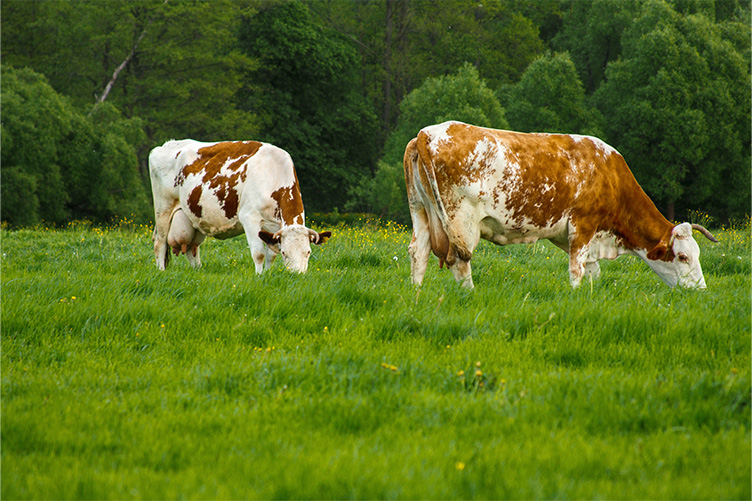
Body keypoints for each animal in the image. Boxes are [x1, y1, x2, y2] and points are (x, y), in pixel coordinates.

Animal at [149, 139, 330, 273]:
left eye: (308, 251)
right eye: (285, 252)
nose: (297, 275)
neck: (274, 173)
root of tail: (165, 145)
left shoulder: (274, 227)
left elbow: (270, 255)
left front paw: (269, 275)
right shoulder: (250, 218)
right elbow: (259, 254)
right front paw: (260, 277)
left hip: (192, 216)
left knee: (192, 248)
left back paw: (198, 271)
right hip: (163, 208)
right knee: (160, 242)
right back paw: (161, 271)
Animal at [403, 121, 717, 289]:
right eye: (683, 257)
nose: (700, 291)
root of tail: (427, 132)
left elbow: (592, 273)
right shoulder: (583, 226)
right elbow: (577, 270)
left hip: (420, 210)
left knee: (418, 252)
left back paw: (416, 295)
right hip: (461, 220)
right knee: (460, 260)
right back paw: (470, 295)